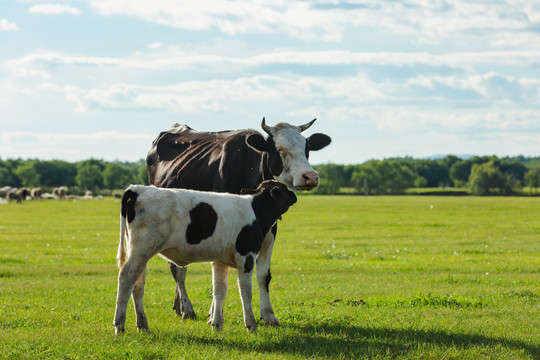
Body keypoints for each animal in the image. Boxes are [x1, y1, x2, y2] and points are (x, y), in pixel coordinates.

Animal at [114, 180, 298, 334]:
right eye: (284, 189)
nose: (294, 195)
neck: (255, 211)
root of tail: (138, 189)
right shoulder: (246, 257)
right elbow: (245, 291)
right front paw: (251, 325)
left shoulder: (220, 261)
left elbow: (219, 290)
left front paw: (217, 324)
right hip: (142, 250)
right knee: (126, 277)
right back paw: (120, 325)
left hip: (139, 252)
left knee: (137, 284)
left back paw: (142, 325)